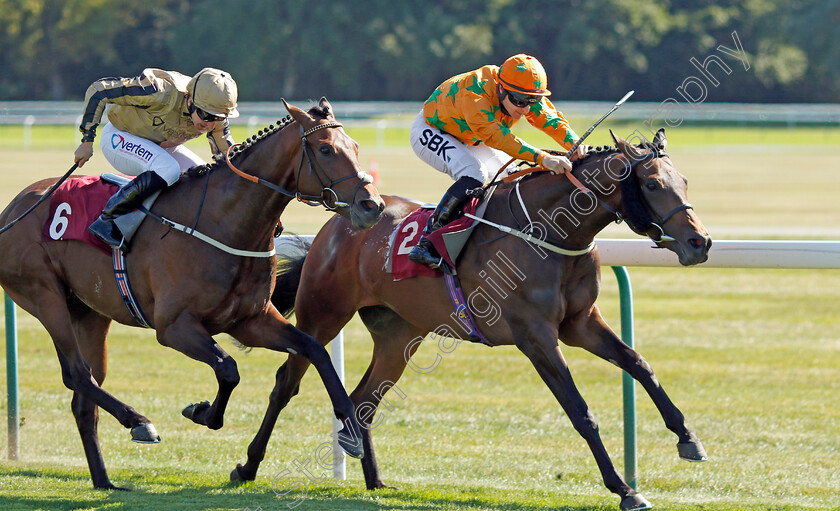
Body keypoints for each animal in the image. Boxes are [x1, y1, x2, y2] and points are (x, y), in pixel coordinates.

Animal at [0, 97, 384, 492]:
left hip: (90, 313)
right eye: (325, 149)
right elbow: (228, 369)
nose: (372, 206)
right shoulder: (174, 328)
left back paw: (105, 480)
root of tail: (13, 209)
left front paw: (352, 432)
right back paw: (139, 422)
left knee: (84, 398)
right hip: (45, 296)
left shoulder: (251, 320)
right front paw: (202, 412)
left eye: (355, 147)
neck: (224, 223)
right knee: (76, 374)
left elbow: (315, 350)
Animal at [233, 129, 712, 511]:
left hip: (399, 335)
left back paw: (373, 477)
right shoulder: (536, 337)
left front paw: (688, 438)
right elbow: (581, 411)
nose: (700, 242)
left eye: (685, 181)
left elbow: (639, 364)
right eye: (652, 183)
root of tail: (342, 221)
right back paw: (247, 466)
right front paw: (624, 489)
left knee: (364, 399)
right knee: (286, 383)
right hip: (324, 314)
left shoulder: (581, 323)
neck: (552, 233)